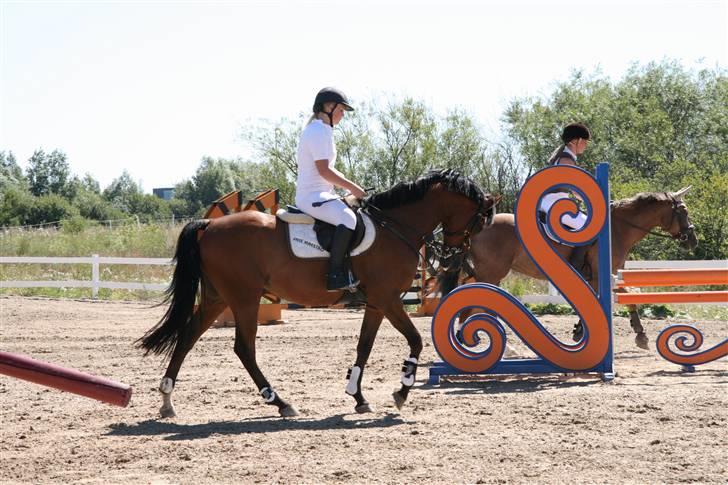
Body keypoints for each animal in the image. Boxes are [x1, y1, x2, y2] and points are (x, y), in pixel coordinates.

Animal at [139, 169, 498, 416]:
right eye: (480, 221)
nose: (452, 256)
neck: (395, 226)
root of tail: (210, 225)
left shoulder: (376, 303)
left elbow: (364, 346)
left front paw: (358, 396)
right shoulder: (387, 298)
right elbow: (415, 341)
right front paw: (402, 391)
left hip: (218, 298)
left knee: (187, 338)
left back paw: (167, 400)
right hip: (244, 298)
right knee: (243, 348)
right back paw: (279, 401)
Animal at [438, 185, 700, 348]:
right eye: (684, 211)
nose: (692, 240)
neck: (619, 228)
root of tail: (475, 228)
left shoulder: (602, 276)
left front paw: (579, 330)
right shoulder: (602, 275)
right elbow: (624, 297)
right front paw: (640, 335)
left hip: (485, 274)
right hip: (491, 274)